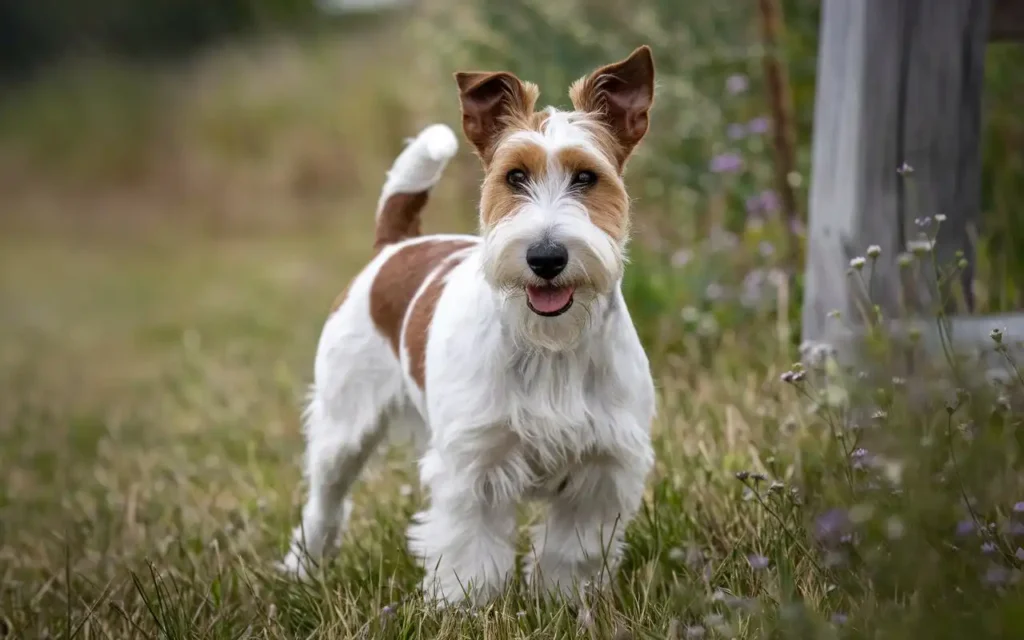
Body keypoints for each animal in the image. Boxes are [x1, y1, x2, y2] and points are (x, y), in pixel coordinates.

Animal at [280, 45, 659, 602]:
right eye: (514, 176)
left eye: (586, 178)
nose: (546, 257)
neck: (549, 345)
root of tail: (396, 244)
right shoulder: (473, 465)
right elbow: (471, 551)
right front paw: (465, 605)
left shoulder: (602, 465)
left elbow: (572, 551)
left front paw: (565, 600)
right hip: (342, 425)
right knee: (323, 502)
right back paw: (302, 568)